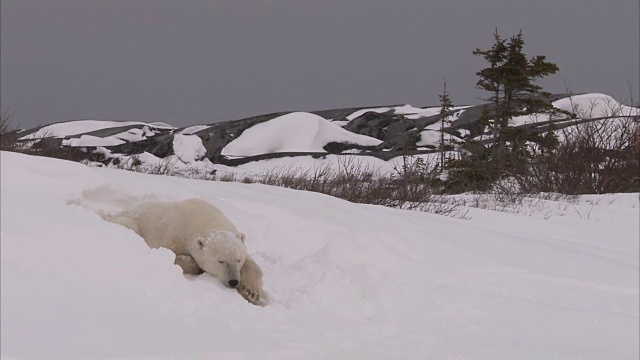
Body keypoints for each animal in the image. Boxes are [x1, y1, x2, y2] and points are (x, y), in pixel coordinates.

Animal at [107, 198, 268, 306]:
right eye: (220, 261)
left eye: (238, 259)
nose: (233, 281)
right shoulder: (171, 234)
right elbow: (169, 253)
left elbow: (253, 264)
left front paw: (252, 293)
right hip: (127, 220)